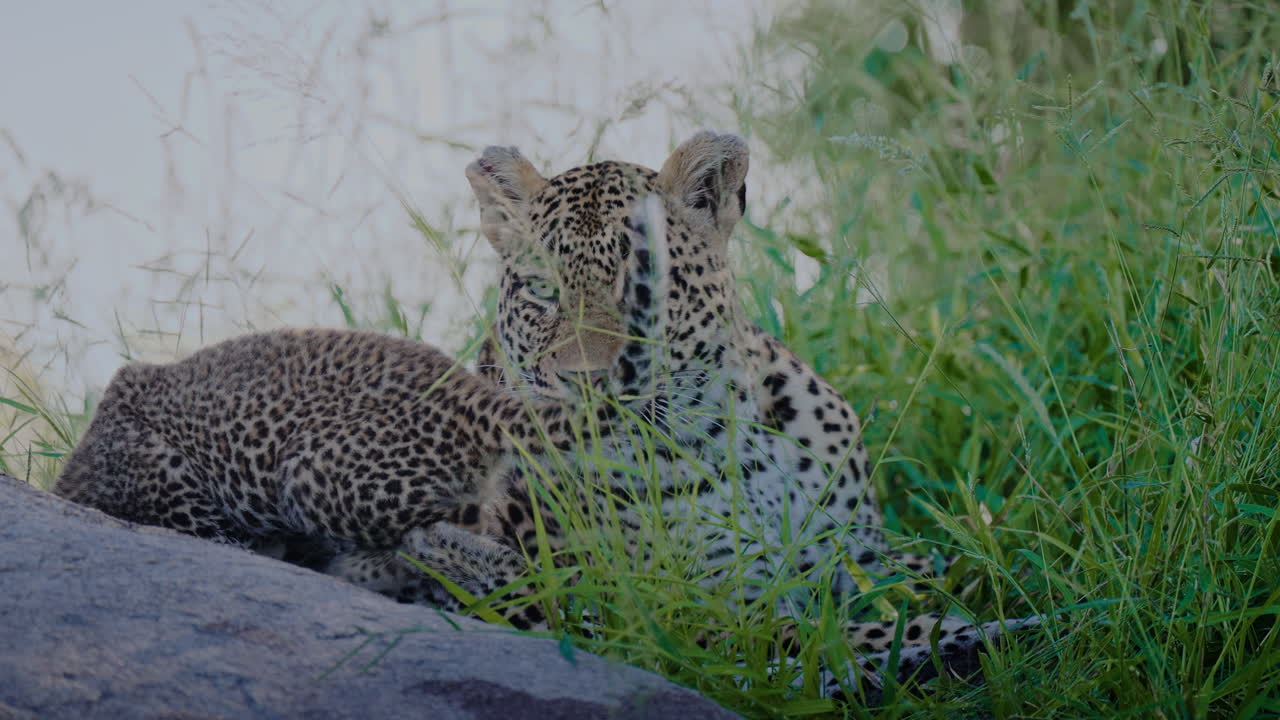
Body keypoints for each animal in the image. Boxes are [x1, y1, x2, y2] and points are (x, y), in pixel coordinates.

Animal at [324, 132, 1041, 693]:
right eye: (542, 292)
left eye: (646, 284)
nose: (584, 382)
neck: (731, 433)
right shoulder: (709, 609)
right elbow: (867, 631)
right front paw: (1001, 630)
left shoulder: (869, 554)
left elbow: (958, 576)